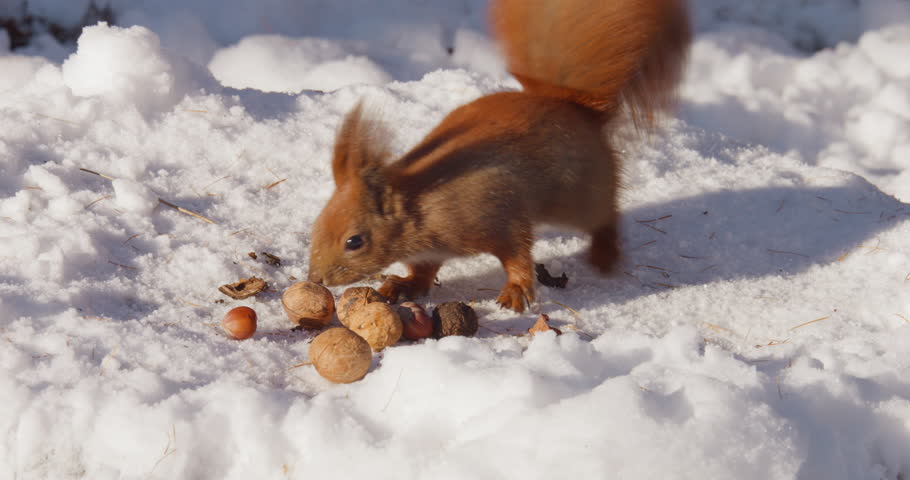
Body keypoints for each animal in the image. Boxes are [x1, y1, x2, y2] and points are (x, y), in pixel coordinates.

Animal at [307, 0, 691, 312]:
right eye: (316, 225)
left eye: (354, 241)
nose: (317, 279)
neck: (424, 204)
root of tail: (572, 106)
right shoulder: (431, 250)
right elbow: (424, 270)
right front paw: (403, 285)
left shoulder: (496, 213)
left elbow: (517, 251)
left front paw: (516, 291)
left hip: (578, 196)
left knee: (604, 215)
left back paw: (605, 255)